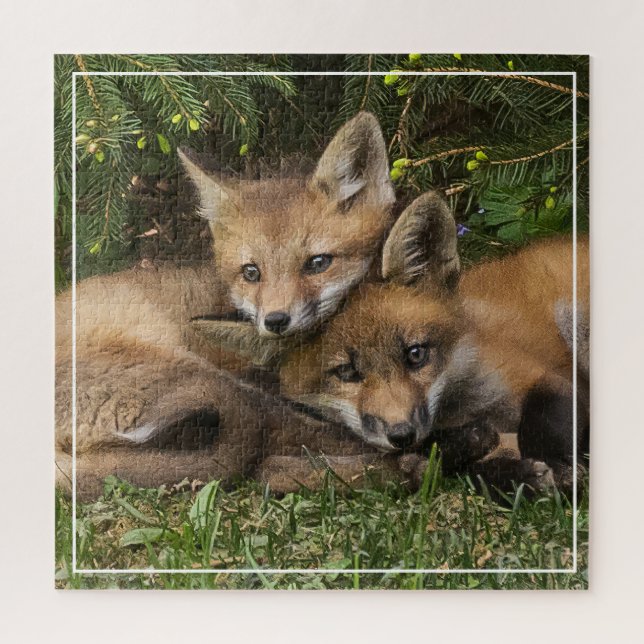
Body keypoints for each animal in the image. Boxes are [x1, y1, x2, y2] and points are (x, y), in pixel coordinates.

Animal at [205, 192, 589, 492]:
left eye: (415, 354)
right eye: (346, 373)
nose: (401, 434)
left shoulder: (541, 377)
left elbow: (541, 426)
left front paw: (559, 471)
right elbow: (471, 469)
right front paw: (518, 477)